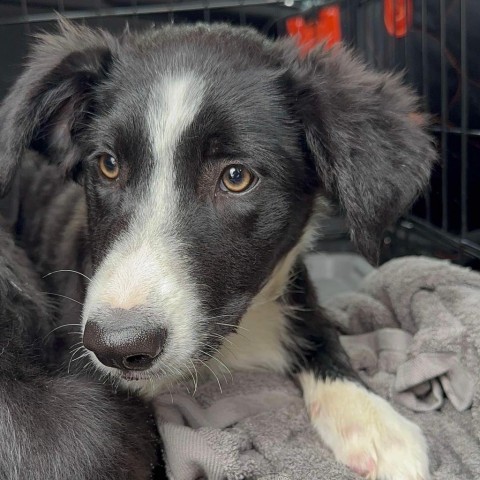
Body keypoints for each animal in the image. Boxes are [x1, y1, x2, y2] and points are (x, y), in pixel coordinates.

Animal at [0, 20, 436, 478]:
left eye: (236, 176)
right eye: (109, 165)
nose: (116, 347)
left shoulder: (294, 284)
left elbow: (320, 331)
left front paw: (372, 420)